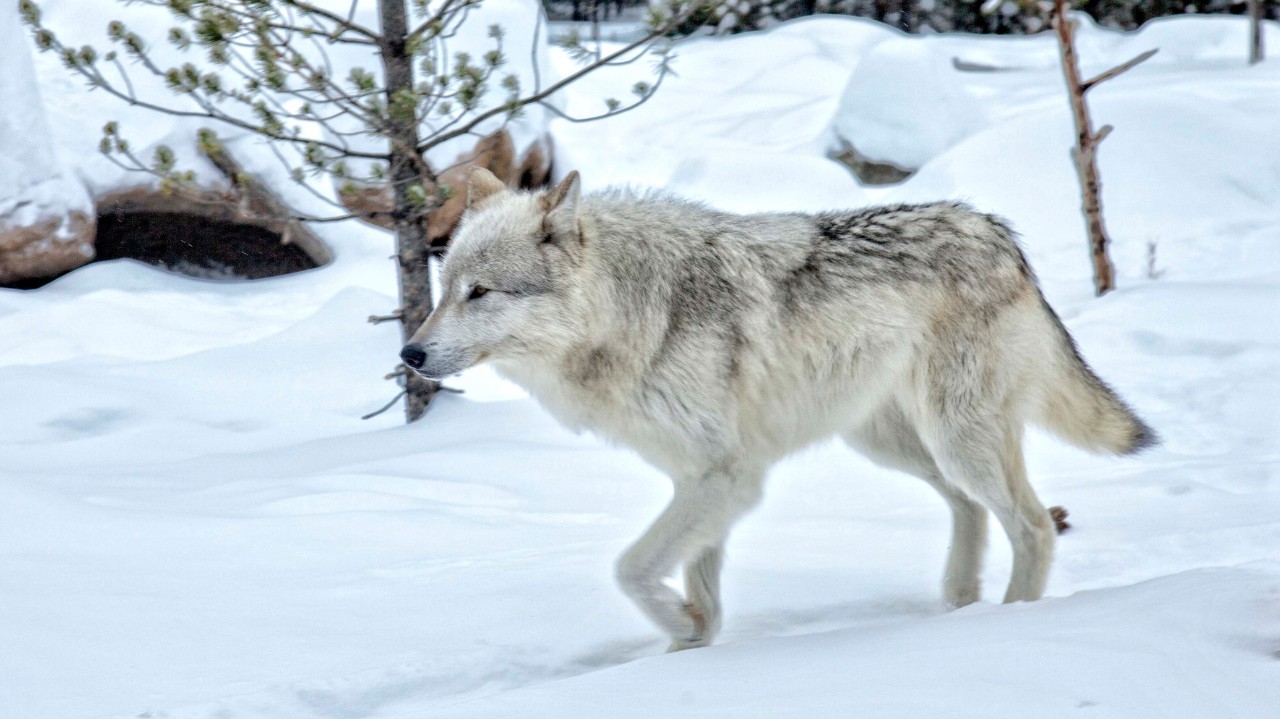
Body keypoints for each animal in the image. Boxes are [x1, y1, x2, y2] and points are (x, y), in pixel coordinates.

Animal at [401, 168, 1156, 651]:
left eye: (480, 291)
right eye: (445, 287)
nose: (410, 353)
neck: (633, 314)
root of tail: (999, 232)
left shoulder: (727, 477)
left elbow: (631, 568)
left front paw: (679, 628)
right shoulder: (700, 480)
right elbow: (696, 588)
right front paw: (688, 648)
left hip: (954, 438)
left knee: (1034, 525)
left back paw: (1009, 623)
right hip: (891, 443)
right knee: (969, 508)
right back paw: (959, 602)